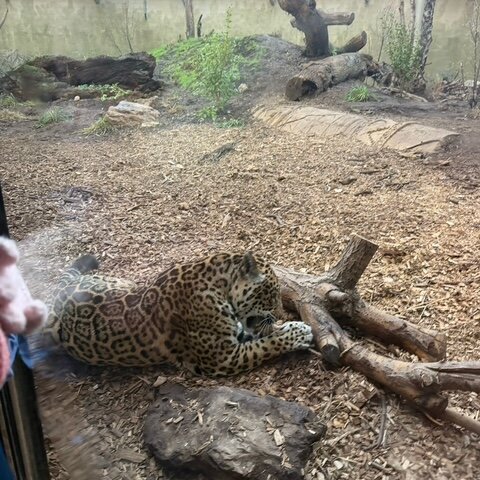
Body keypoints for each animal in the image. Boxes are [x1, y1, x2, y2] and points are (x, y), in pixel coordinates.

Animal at [47, 251, 313, 376]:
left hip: (120, 282)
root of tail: (60, 293)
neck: (219, 286)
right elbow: (266, 345)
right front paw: (298, 333)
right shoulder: (223, 358)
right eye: (273, 293)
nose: (280, 313)